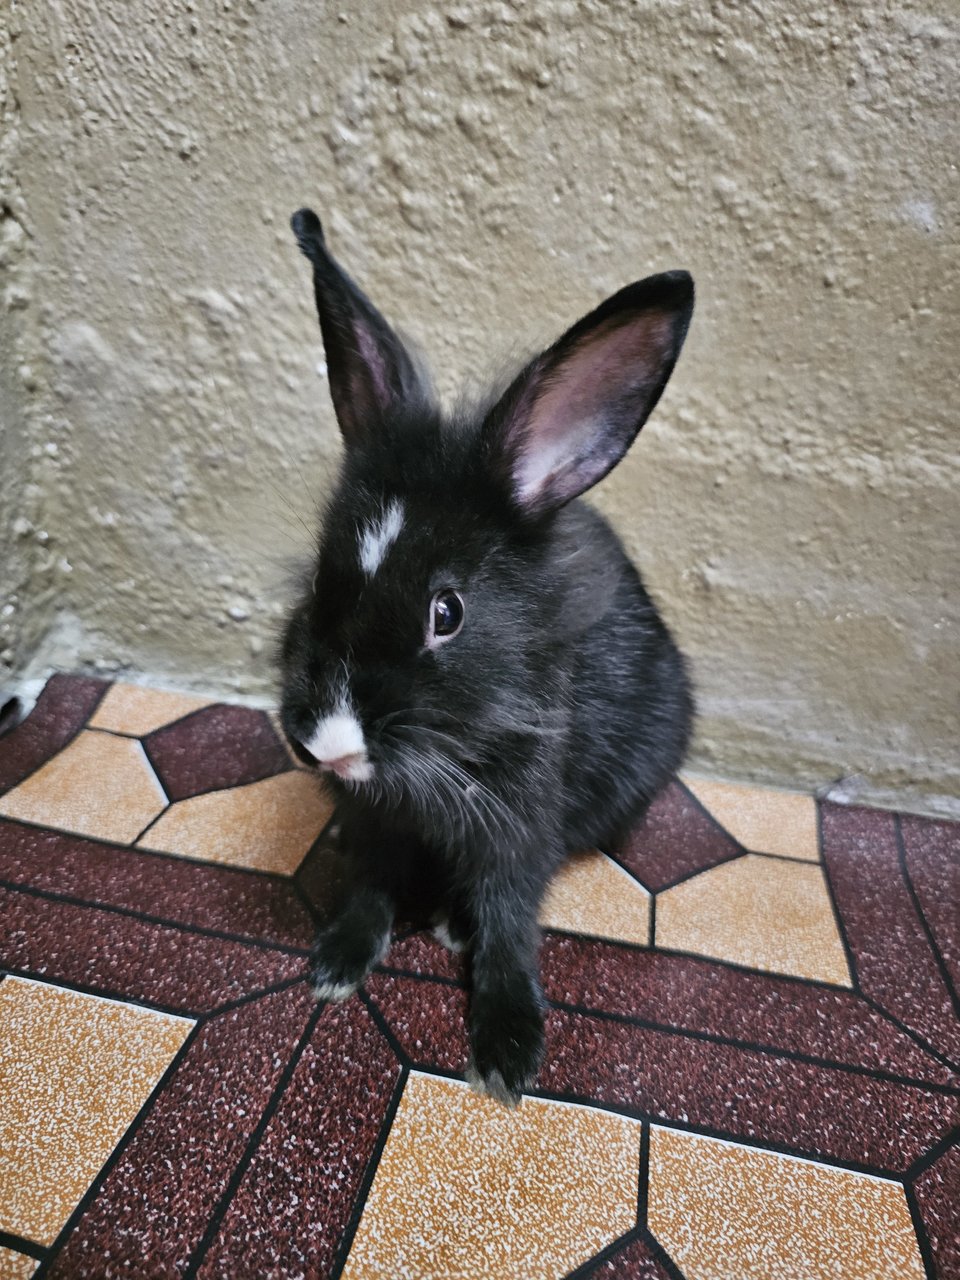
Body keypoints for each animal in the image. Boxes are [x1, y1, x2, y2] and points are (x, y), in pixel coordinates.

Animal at [281, 207, 696, 1100]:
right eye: (321, 577)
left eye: (448, 612)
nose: (324, 742)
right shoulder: (374, 821)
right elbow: (368, 885)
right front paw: (335, 965)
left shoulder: (520, 827)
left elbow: (510, 923)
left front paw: (508, 1050)